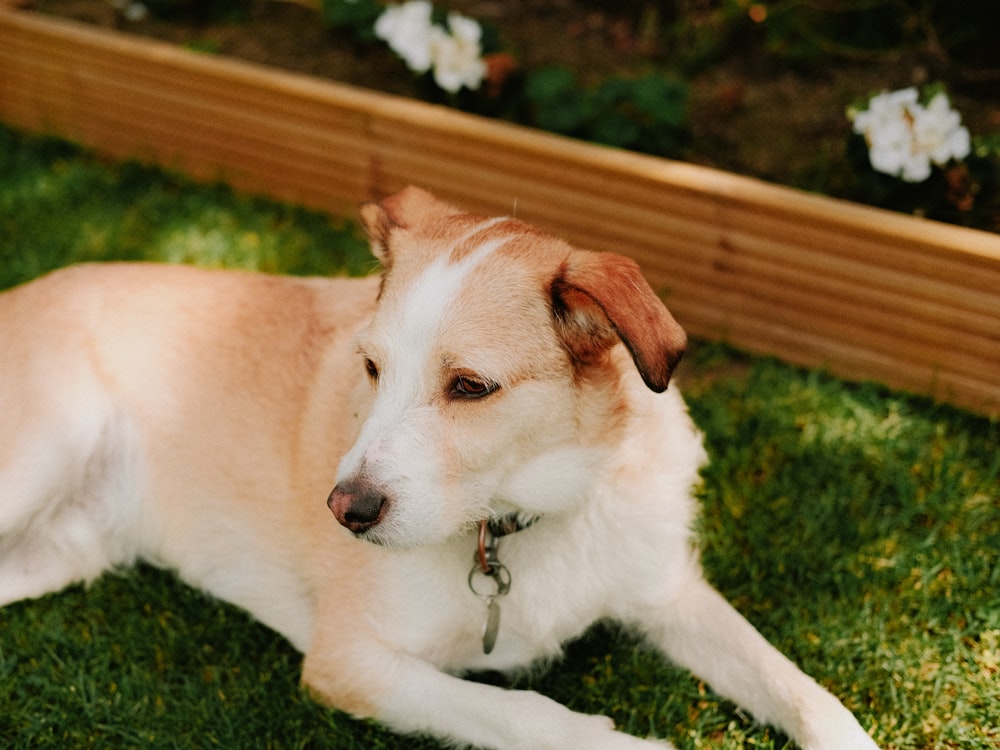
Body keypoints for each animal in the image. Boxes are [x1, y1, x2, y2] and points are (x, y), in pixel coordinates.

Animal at [0, 189, 876, 750]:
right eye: (371, 367)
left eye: (470, 387)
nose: (343, 510)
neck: (515, 521)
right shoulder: (350, 662)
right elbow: (524, 713)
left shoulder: (668, 593)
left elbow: (804, 690)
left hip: (59, 554)